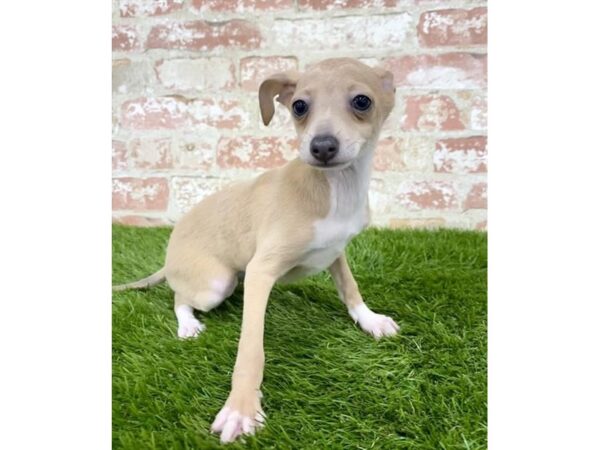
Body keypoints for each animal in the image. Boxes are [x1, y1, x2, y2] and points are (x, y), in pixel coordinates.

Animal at [115, 59, 400, 442]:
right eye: (299, 106)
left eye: (362, 101)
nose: (322, 146)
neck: (335, 188)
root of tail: (169, 258)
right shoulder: (260, 271)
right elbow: (251, 349)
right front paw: (241, 408)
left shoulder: (336, 252)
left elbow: (350, 289)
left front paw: (370, 320)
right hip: (216, 284)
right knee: (179, 297)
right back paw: (188, 325)